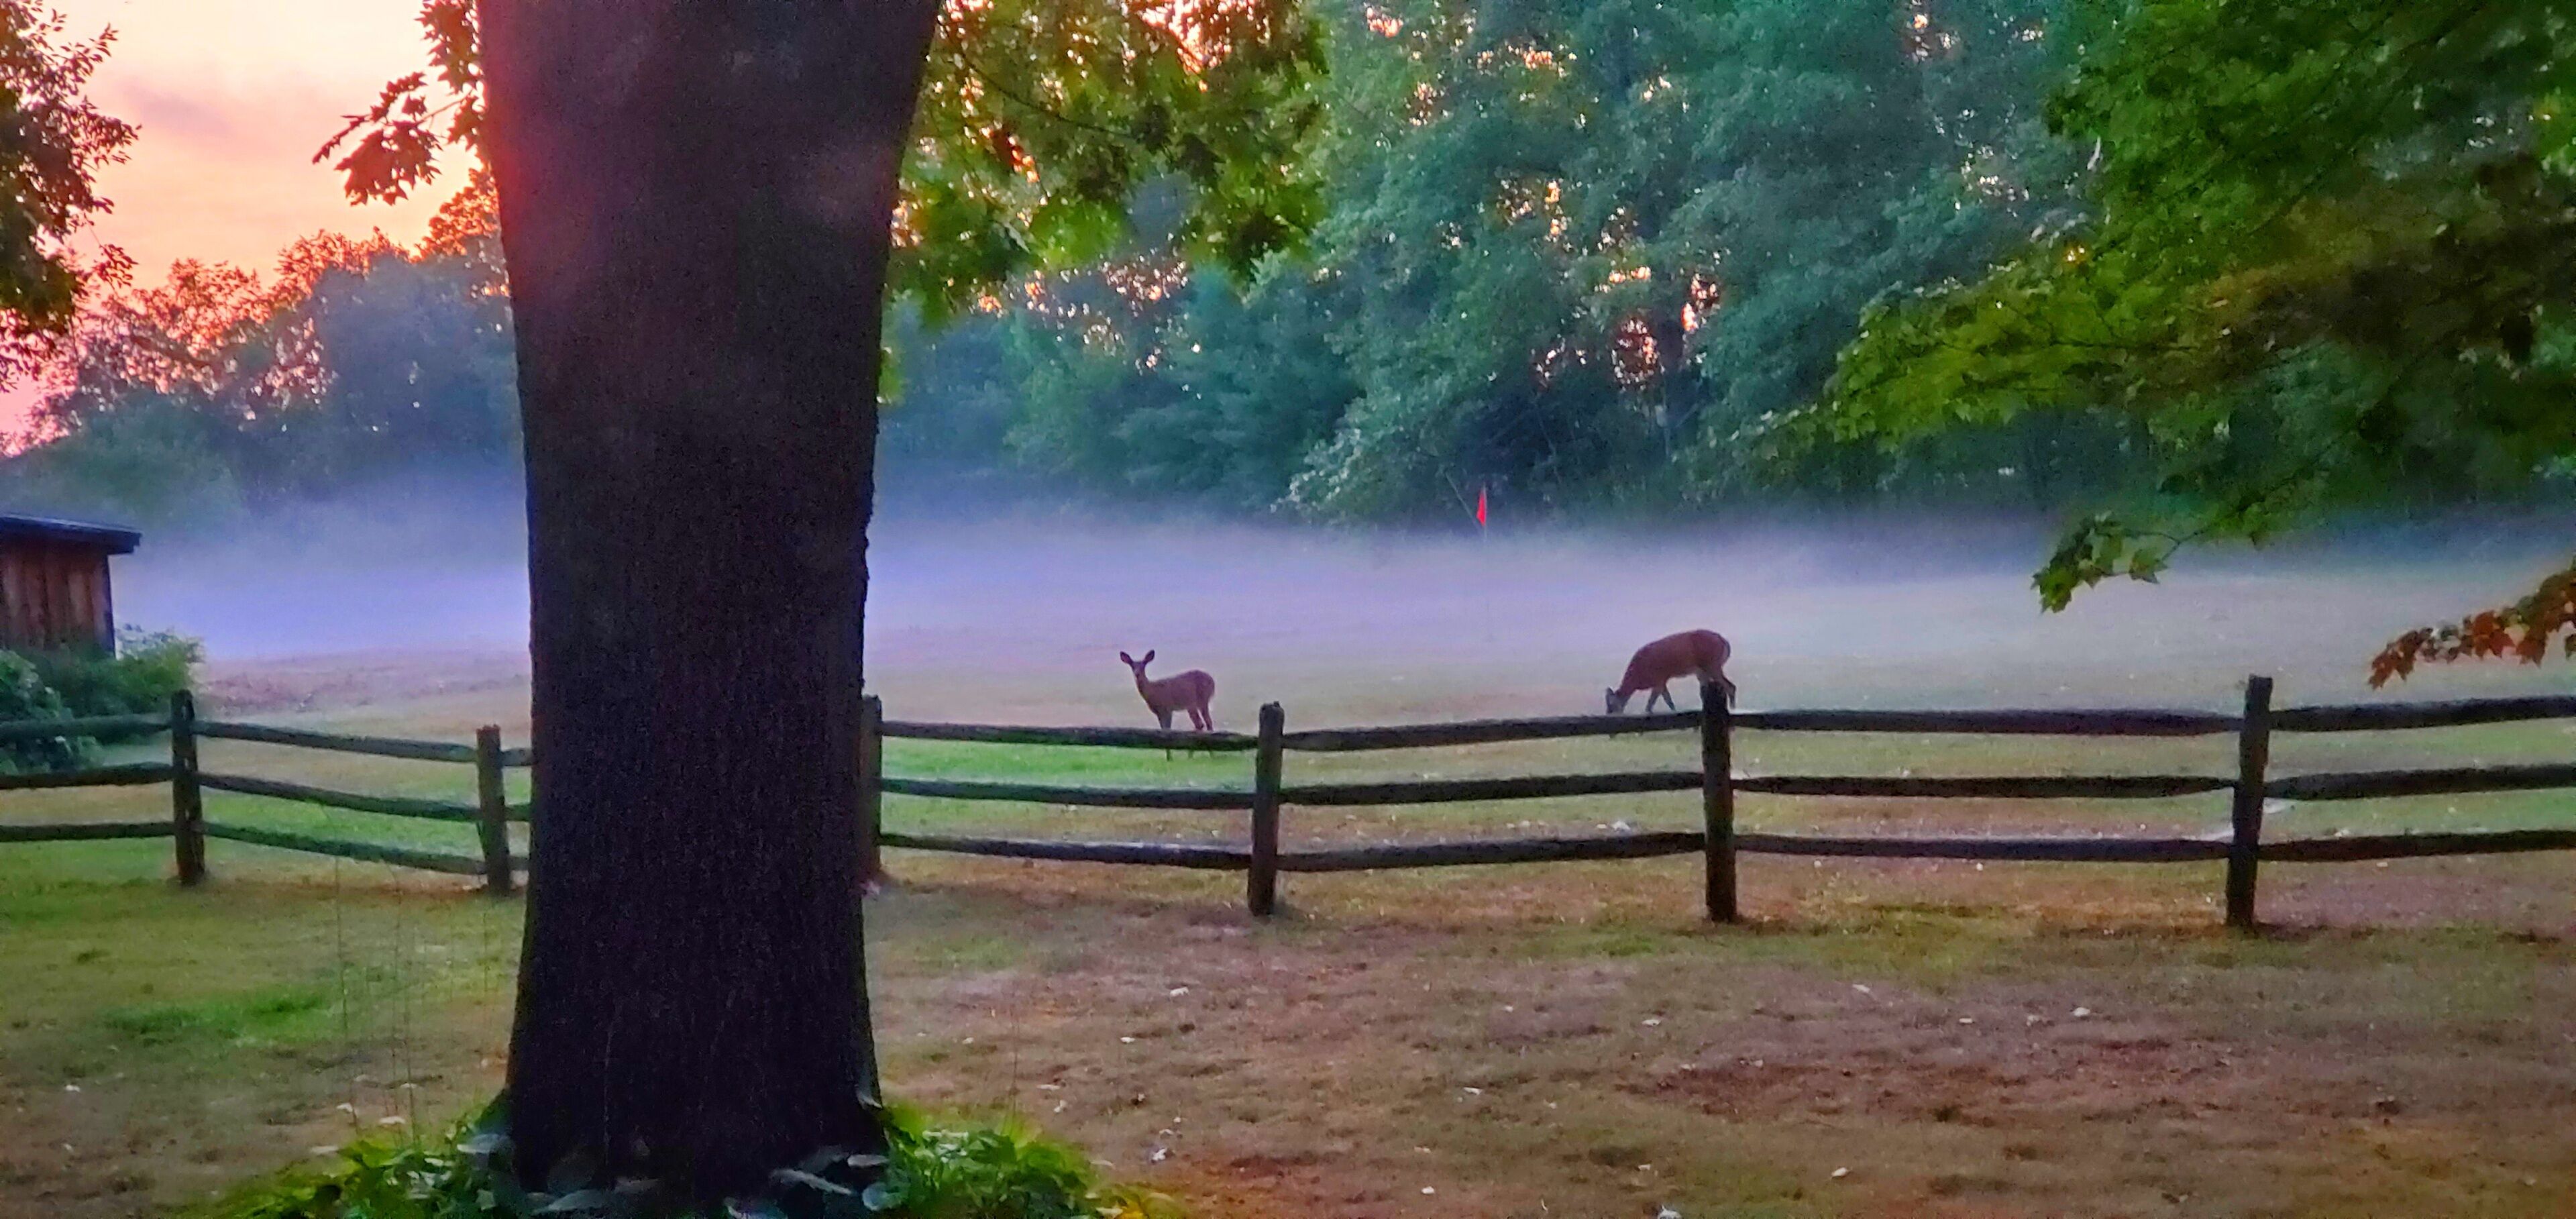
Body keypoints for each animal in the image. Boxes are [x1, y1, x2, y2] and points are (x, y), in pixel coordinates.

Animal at [1120, 650, 1216, 733]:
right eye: (1132, 666)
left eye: (1144, 665)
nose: (1137, 674)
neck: (1153, 691)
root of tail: (1212, 681)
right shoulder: (1159, 712)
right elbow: (1163, 728)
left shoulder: (1167, 708)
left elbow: (1167, 728)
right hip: (1192, 705)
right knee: (1200, 723)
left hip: (1202, 698)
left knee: (1207, 721)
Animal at [1605, 629, 1736, 714]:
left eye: (1611, 705)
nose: (1608, 714)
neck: (1638, 677)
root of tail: (1725, 642)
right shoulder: (1663, 680)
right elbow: (1668, 700)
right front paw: (1675, 712)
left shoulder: (1658, 678)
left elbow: (1651, 703)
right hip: (1703, 671)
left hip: (1712, 665)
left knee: (1731, 686)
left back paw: (1733, 710)